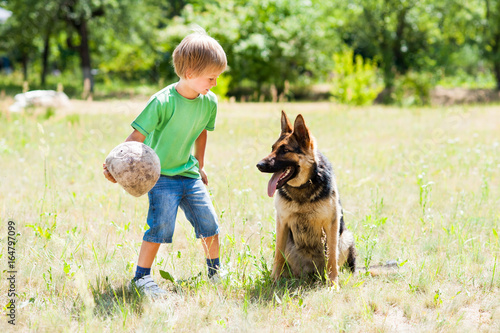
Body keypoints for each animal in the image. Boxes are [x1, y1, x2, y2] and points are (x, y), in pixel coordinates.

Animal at [258, 111, 356, 282]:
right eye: (272, 148)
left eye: (285, 150)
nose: (259, 165)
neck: (302, 187)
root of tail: (313, 272)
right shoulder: (282, 223)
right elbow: (278, 255)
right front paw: (274, 280)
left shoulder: (332, 224)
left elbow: (332, 257)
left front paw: (333, 283)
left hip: (345, 237)